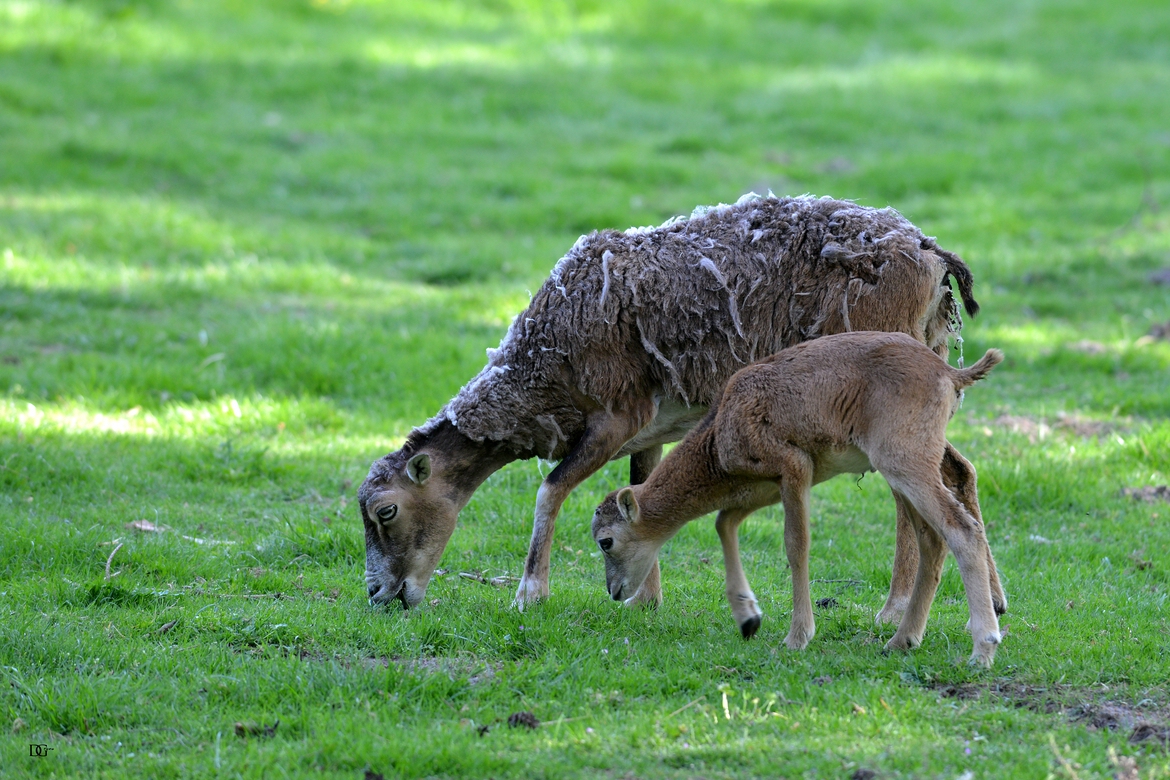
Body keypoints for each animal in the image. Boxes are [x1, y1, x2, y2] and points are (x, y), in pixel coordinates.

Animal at [360, 191, 982, 612]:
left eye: (385, 511)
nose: (380, 593)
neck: (543, 368)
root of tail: (933, 256)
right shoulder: (651, 430)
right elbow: (639, 486)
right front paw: (645, 599)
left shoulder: (618, 414)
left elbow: (551, 488)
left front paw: (530, 593)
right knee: (955, 472)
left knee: (910, 497)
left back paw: (892, 612)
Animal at [594, 332, 1006, 668]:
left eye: (605, 541)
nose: (613, 592)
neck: (719, 437)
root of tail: (950, 374)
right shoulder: (759, 489)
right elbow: (724, 522)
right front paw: (749, 620)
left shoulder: (795, 467)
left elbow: (796, 544)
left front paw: (796, 638)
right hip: (901, 473)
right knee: (932, 540)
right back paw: (901, 640)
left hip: (905, 462)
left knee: (961, 529)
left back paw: (982, 649)